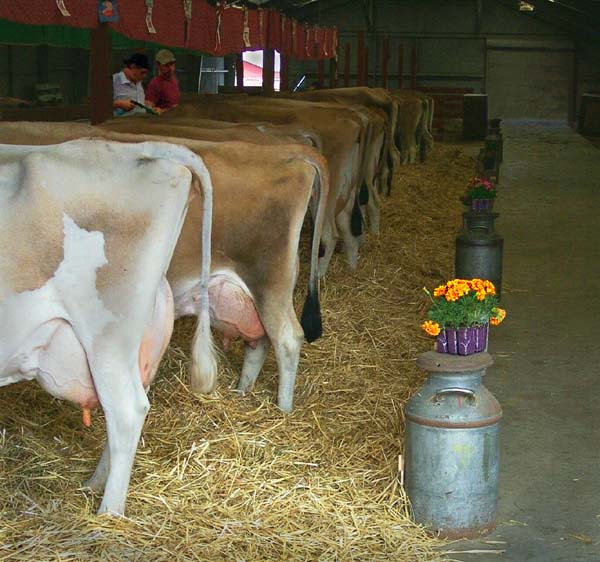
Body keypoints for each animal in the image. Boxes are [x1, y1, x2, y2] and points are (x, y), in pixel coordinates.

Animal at [0, 122, 328, 412]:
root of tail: (291, 152)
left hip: (268, 279)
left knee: (287, 339)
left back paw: (283, 409)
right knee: (259, 340)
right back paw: (242, 391)